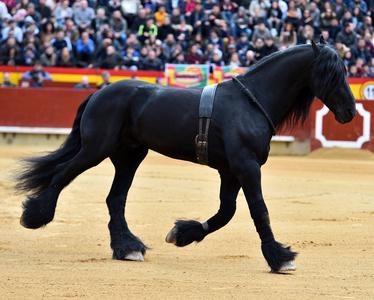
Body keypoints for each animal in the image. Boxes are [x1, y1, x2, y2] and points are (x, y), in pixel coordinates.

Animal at [16, 38, 356, 274]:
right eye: (333, 74)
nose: (351, 112)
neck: (250, 101)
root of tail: (100, 92)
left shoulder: (230, 171)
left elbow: (226, 213)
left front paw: (182, 234)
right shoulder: (246, 167)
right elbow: (259, 211)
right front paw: (281, 258)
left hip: (128, 157)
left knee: (116, 199)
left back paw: (127, 248)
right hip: (95, 150)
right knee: (62, 175)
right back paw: (34, 216)